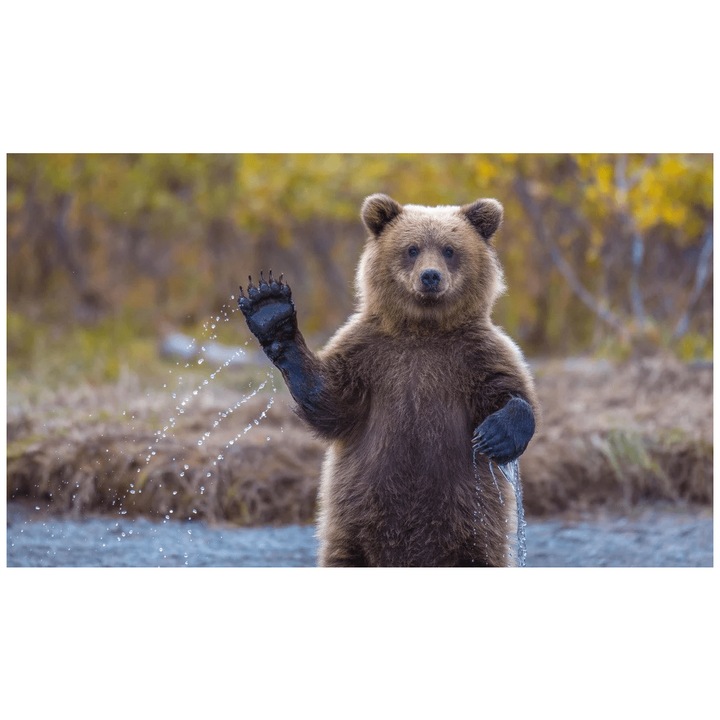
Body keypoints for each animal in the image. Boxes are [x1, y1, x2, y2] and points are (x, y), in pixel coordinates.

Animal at [238, 193, 538, 567]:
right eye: (412, 248)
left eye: (449, 249)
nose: (430, 276)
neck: (424, 328)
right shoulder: (370, 354)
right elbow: (330, 401)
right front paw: (270, 308)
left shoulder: (475, 354)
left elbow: (509, 390)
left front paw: (495, 435)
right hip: (353, 526)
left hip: (473, 528)